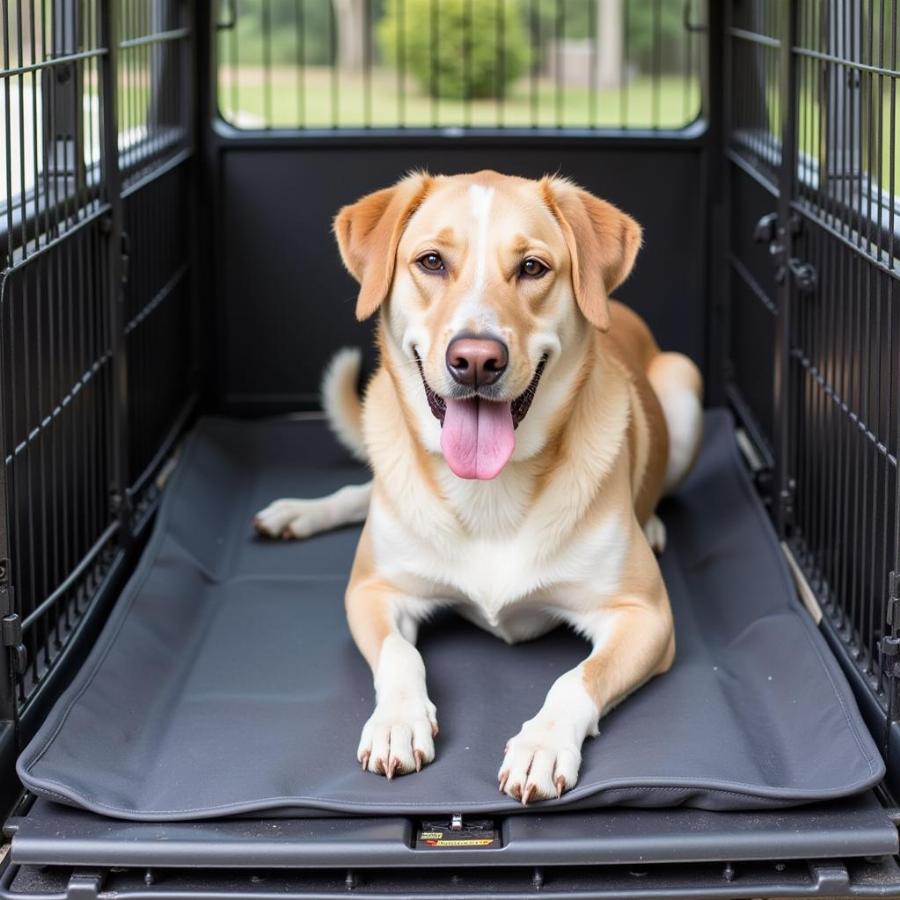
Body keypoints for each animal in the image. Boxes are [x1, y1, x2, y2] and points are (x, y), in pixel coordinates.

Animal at [253, 172, 704, 804]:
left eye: (533, 267)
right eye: (432, 261)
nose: (475, 359)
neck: (489, 493)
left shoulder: (646, 617)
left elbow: (575, 679)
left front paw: (542, 743)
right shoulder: (372, 591)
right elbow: (399, 654)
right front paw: (397, 721)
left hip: (684, 384)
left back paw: (655, 522)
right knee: (362, 492)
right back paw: (298, 513)